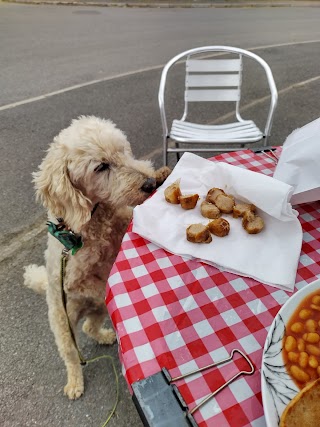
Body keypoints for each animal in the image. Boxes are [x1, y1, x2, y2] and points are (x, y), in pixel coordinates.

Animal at [23, 115, 171, 400]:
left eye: (123, 150)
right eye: (101, 167)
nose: (149, 184)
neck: (95, 220)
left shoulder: (122, 219)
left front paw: (164, 174)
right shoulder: (76, 281)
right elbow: (98, 283)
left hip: (97, 311)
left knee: (88, 327)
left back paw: (103, 336)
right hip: (63, 321)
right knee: (71, 353)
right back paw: (74, 383)